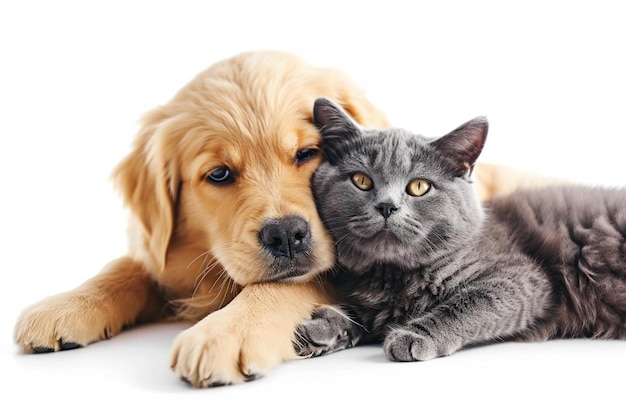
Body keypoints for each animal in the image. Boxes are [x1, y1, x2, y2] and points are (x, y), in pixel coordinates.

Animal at [13, 49, 552, 386]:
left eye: (307, 152)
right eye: (219, 174)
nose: (287, 236)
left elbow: (275, 287)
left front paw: (224, 333)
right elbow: (128, 267)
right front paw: (66, 305)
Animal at [294, 95, 624, 360]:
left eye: (419, 186)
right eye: (361, 180)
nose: (387, 206)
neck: (392, 275)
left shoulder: (523, 279)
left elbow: (468, 302)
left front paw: (415, 335)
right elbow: (364, 311)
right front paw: (323, 326)